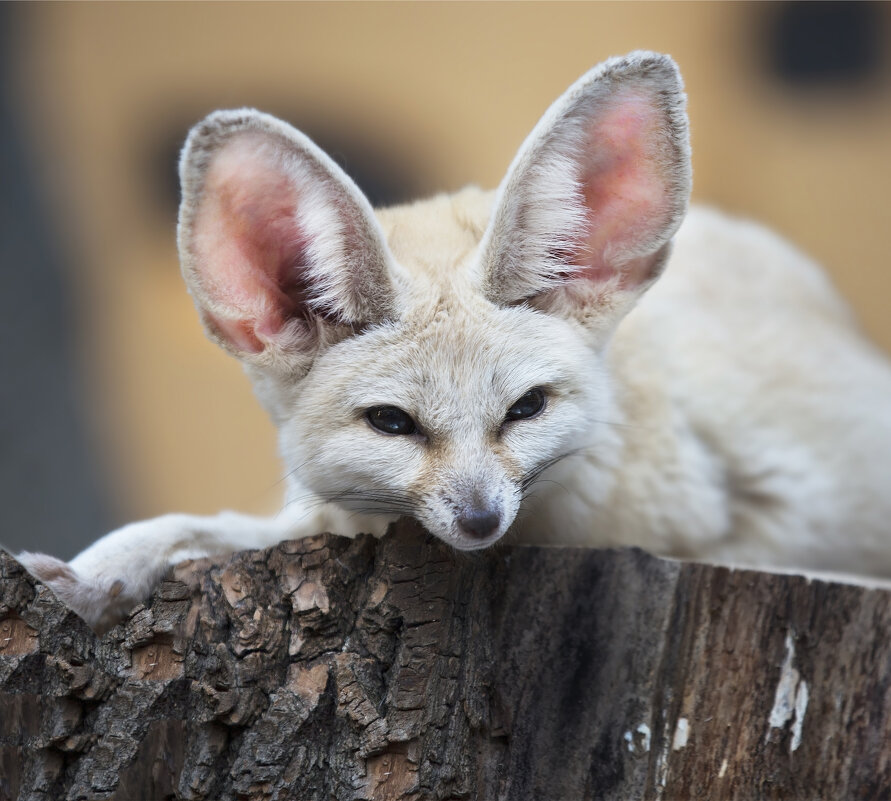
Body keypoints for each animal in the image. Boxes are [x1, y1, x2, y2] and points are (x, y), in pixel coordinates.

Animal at [17, 51, 891, 632]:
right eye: (392, 422)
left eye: (526, 407)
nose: (478, 519)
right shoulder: (330, 513)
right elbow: (209, 526)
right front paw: (99, 571)